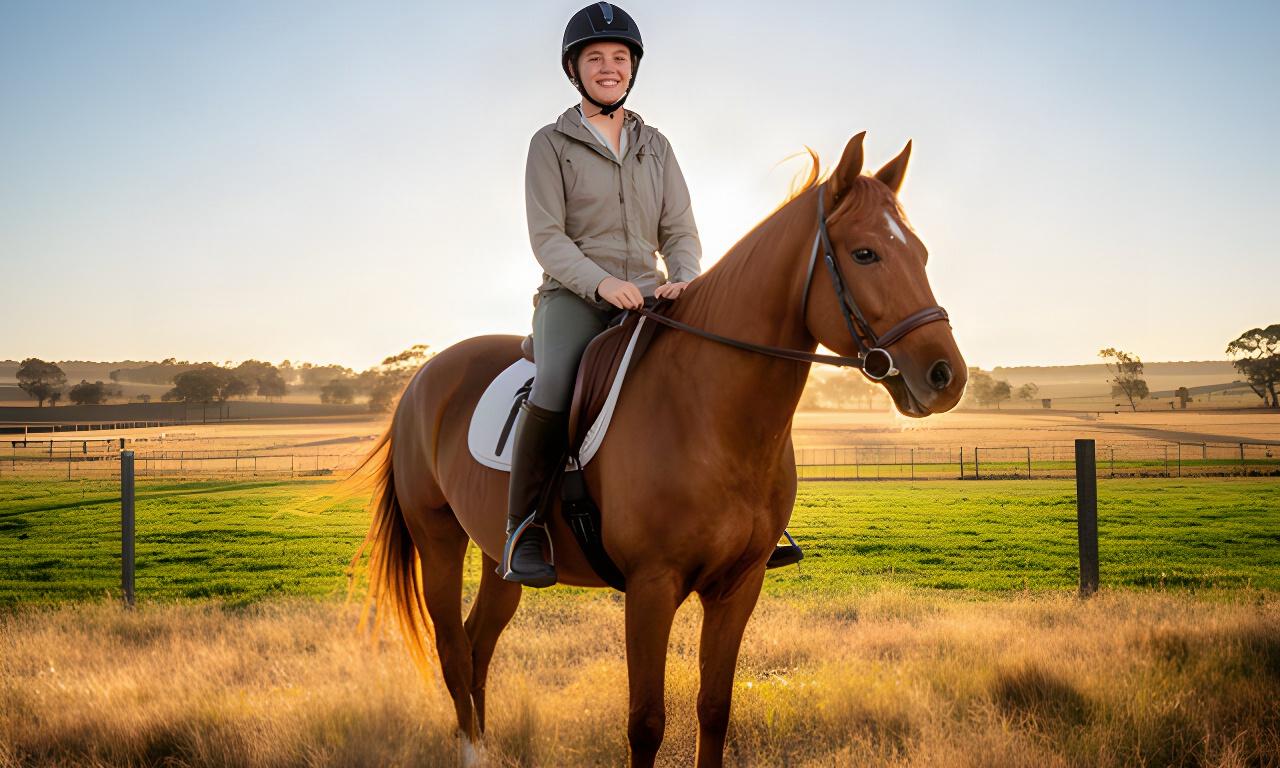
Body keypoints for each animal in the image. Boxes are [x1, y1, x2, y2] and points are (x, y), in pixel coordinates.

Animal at [353, 132, 967, 767]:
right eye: (865, 254)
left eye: (921, 253)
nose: (946, 376)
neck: (708, 416)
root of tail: (423, 379)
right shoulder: (651, 588)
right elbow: (646, 721)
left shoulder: (739, 586)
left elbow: (714, 709)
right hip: (438, 540)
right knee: (453, 651)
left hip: (500, 558)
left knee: (478, 645)